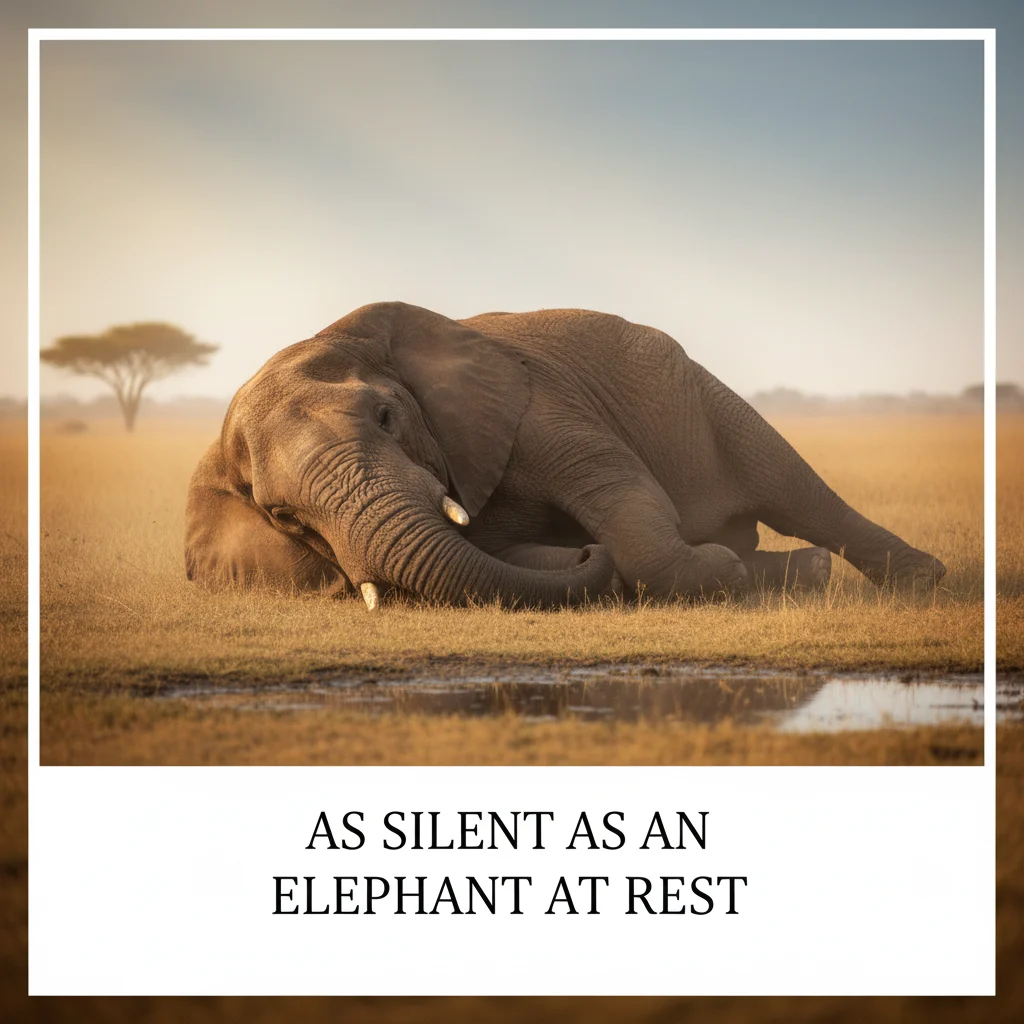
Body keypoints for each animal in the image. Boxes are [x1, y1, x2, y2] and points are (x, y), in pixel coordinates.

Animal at [184, 301, 946, 609]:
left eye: (387, 418)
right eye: (284, 518)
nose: (583, 548)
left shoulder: (530, 402)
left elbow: (616, 486)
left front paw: (713, 572)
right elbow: (506, 558)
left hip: (701, 392)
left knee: (793, 489)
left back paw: (920, 582)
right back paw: (801, 573)